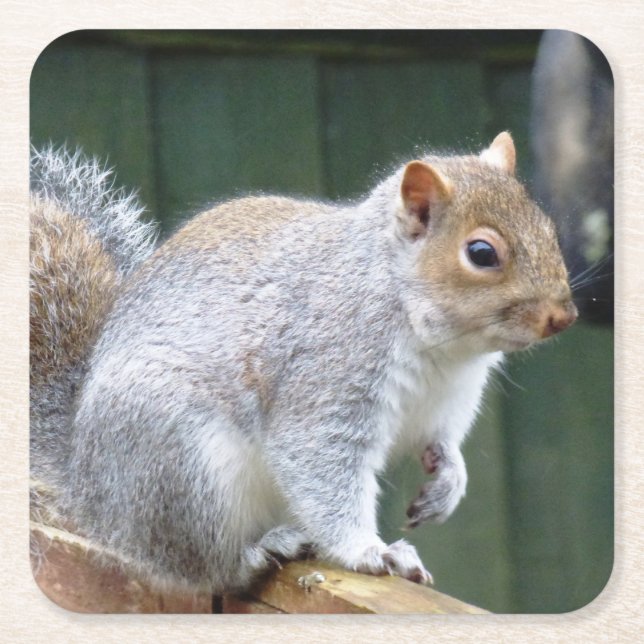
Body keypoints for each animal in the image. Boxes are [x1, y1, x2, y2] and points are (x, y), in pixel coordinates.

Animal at [30, 133, 577, 594]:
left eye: (547, 228)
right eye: (481, 252)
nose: (564, 316)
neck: (440, 346)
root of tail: (85, 485)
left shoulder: (446, 402)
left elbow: (442, 444)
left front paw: (446, 484)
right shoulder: (327, 380)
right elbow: (322, 468)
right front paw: (370, 552)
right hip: (181, 467)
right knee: (198, 565)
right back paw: (255, 553)